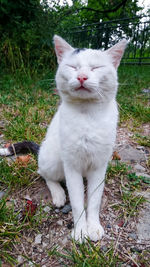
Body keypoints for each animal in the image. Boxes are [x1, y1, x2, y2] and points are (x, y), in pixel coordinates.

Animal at [0, 35, 126, 243]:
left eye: (95, 68)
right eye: (73, 67)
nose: (82, 77)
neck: (87, 115)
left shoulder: (99, 165)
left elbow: (94, 200)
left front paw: (93, 227)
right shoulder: (71, 165)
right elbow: (76, 201)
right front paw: (81, 231)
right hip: (53, 159)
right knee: (44, 174)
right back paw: (58, 194)